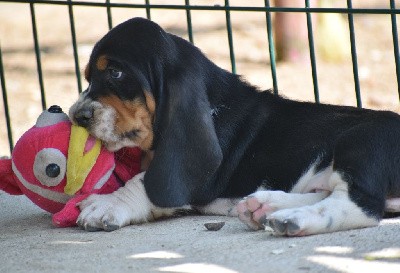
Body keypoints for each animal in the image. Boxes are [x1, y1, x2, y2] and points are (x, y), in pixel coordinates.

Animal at [69, 17, 400, 234]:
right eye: (88, 77)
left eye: (115, 73)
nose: (76, 115)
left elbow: (143, 181)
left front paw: (107, 205)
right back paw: (266, 206)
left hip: (362, 141)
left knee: (361, 205)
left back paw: (293, 219)